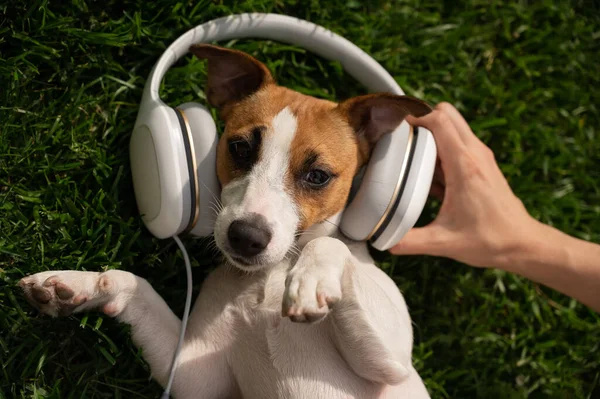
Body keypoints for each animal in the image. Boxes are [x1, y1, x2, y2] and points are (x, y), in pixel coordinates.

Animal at [18, 44, 432, 399]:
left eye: (318, 176)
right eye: (240, 147)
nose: (246, 237)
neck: (267, 277)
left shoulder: (389, 362)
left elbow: (327, 242)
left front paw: (309, 280)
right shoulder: (194, 372)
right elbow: (135, 285)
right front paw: (76, 286)